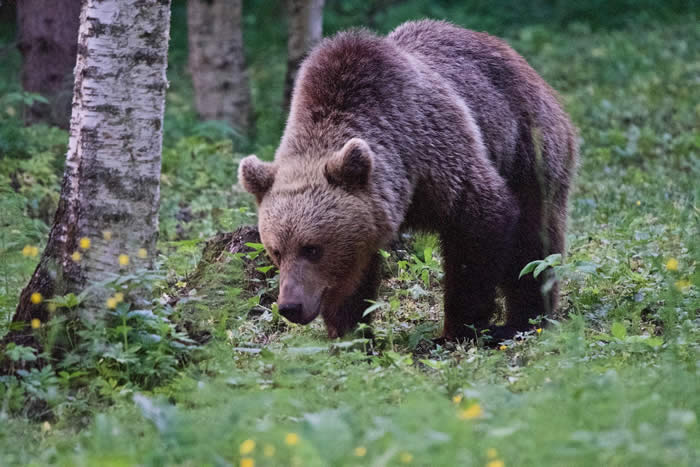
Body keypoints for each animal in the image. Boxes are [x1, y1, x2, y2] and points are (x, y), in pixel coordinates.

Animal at [238, 20, 576, 342]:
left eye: (312, 248)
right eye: (276, 250)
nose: (290, 306)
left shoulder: (437, 157)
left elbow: (480, 228)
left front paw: (458, 329)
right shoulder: (369, 217)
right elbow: (352, 280)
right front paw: (351, 335)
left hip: (528, 147)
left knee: (533, 243)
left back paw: (525, 320)